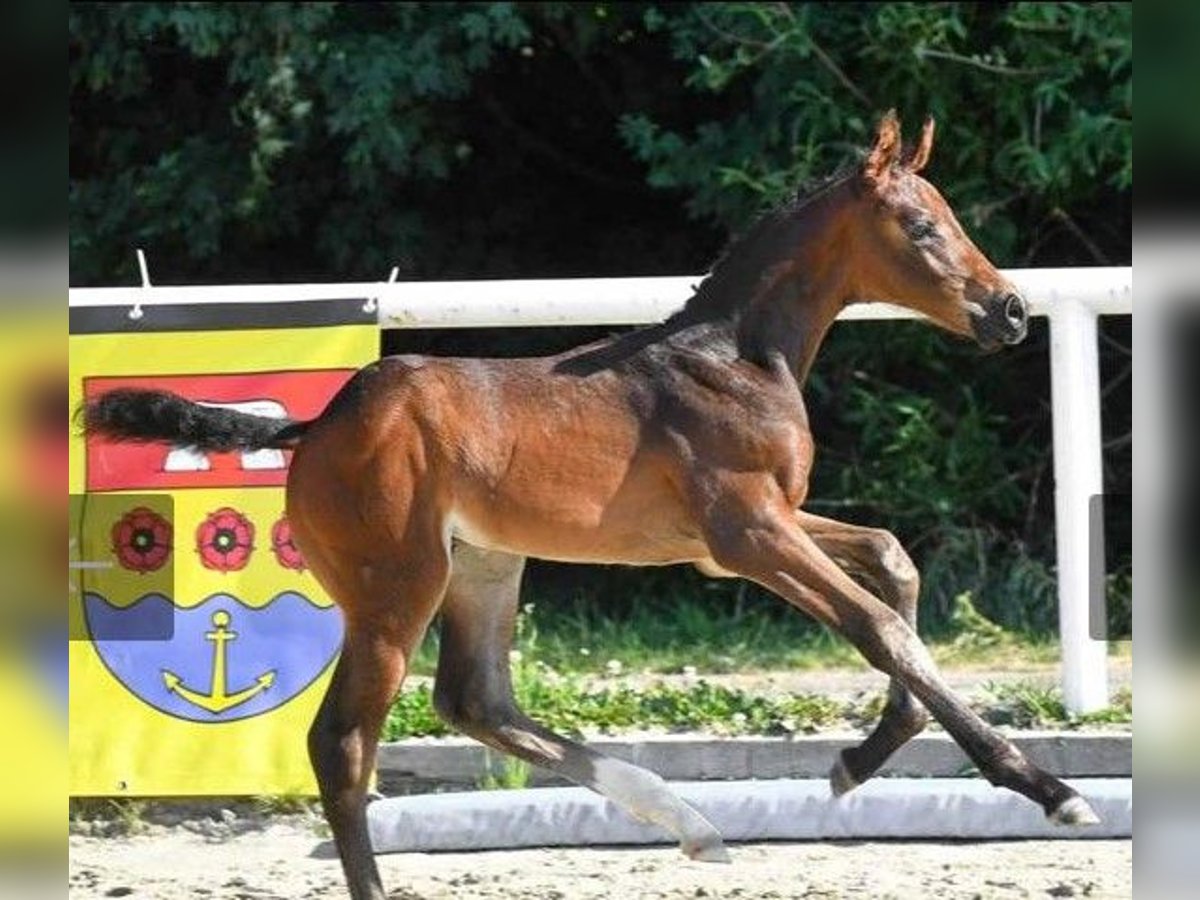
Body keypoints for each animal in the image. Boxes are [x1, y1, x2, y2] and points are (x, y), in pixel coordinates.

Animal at [82, 112, 1099, 900]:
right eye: (921, 225)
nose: (1010, 311)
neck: (735, 355)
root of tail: (319, 422)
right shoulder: (748, 532)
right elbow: (881, 625)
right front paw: (1046, 789)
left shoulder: (750, 531)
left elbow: (892, 559)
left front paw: (860, 759)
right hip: (394, 588)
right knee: (344, 743)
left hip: (484, 565)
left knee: (476, 699)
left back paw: (690, 822)